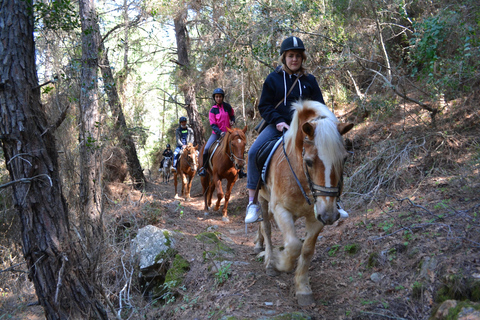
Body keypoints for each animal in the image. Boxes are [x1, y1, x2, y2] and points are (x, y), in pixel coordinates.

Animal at [255, 101, 352, 306]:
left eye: (344, 159)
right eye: (308, 161)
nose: (330, 215)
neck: (300, 177)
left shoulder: (317, 217)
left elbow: (306, 250)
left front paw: (303, 288)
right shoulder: (280, 209)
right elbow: (293, 245)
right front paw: (279, 262)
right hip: (261, 199)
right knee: (266, 228)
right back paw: (268, 258)